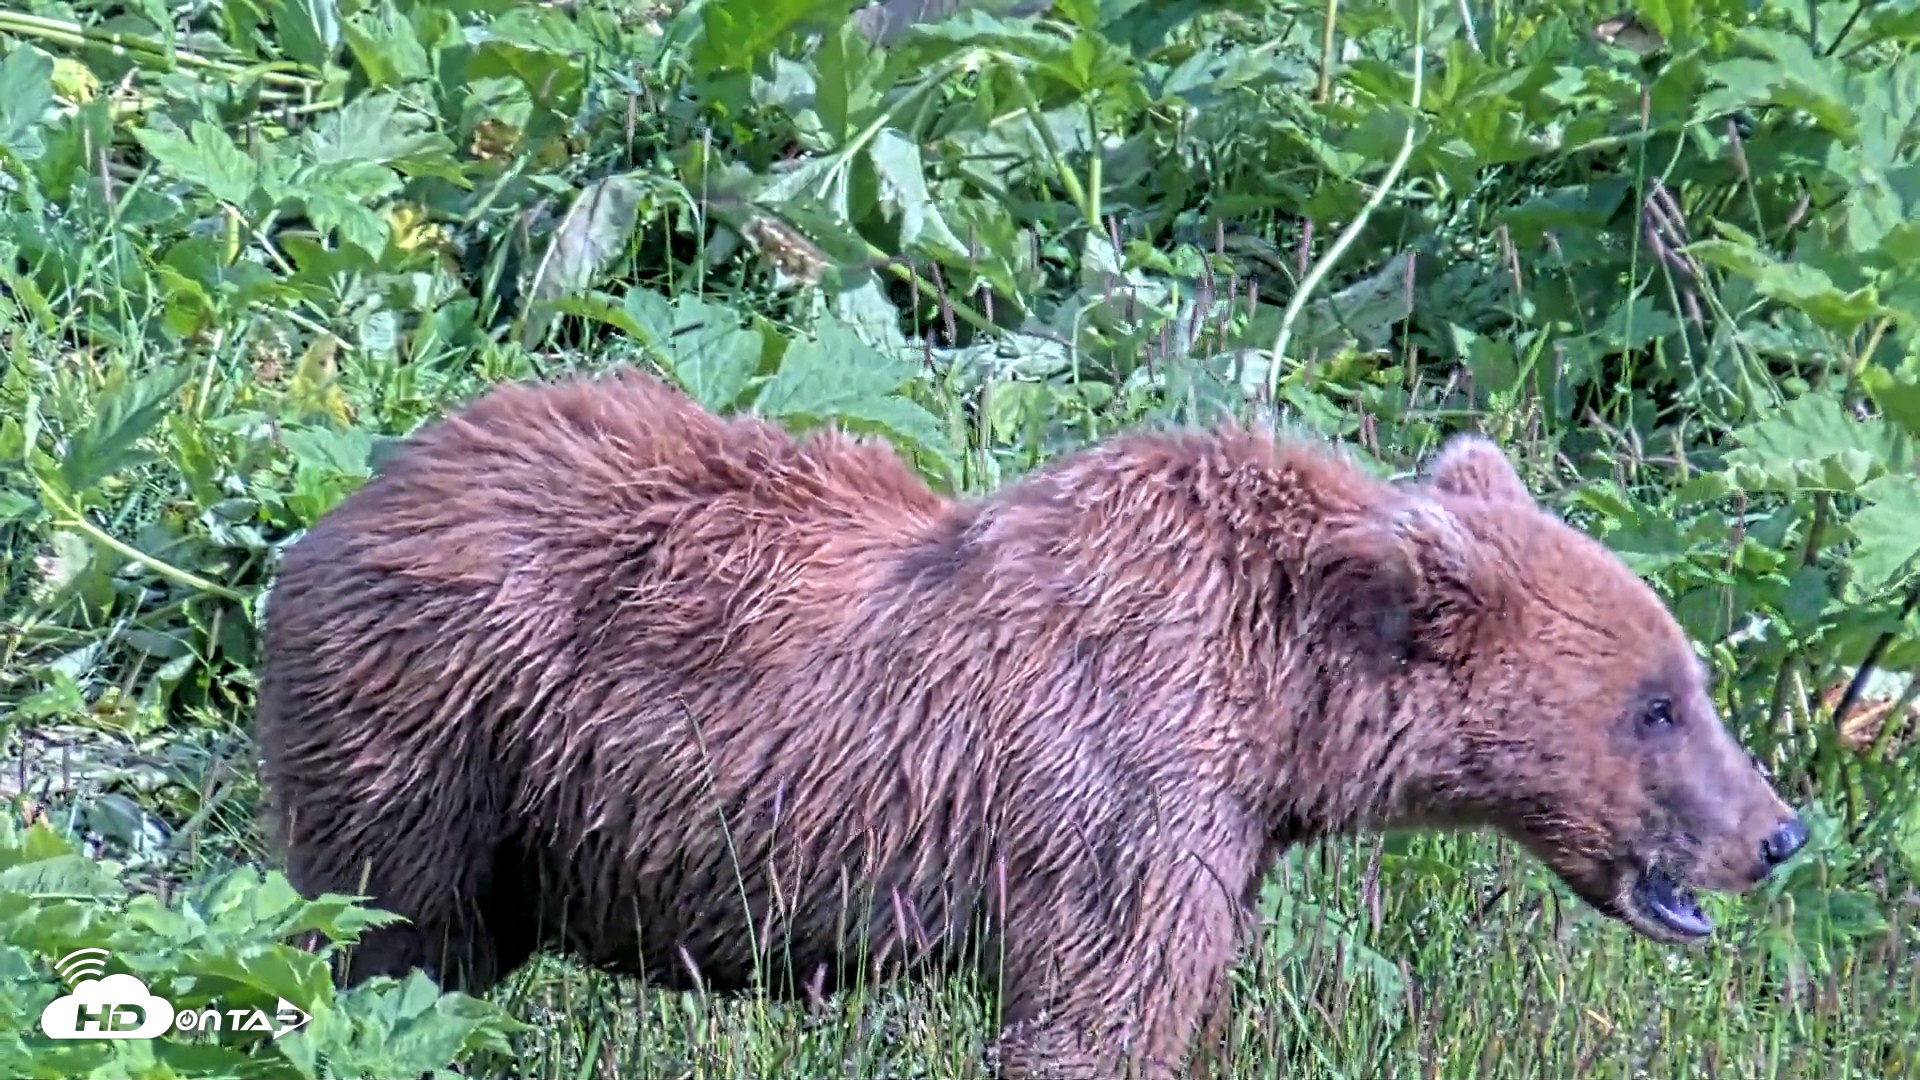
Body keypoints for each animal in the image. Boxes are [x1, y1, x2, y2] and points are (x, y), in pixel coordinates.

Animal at [253, 367, 1807, 1079]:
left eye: (1689, 681)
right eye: (1656, 704)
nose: (1779, 832)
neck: (1279, 705)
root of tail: (351, 504)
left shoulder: (1216, 818)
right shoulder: (1124, 791)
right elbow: (1100, 1011)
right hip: (442, 738)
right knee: (386, 945)